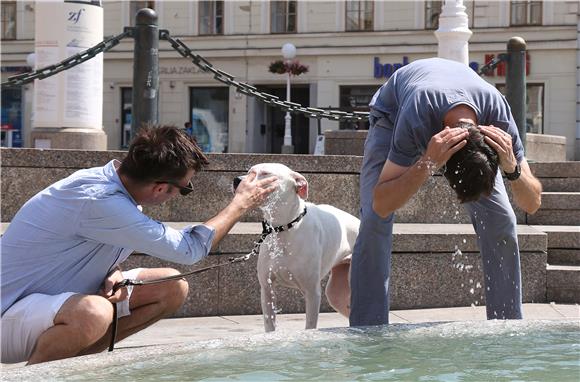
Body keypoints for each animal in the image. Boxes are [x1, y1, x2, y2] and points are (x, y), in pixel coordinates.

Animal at [238, 163, 360, 332]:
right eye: (249, 172)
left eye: (266, 173)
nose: (237, 181)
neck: (283, 228)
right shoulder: (267, 289)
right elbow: (269, 324)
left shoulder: (312, 292)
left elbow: (310, 325)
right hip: (336, 292)